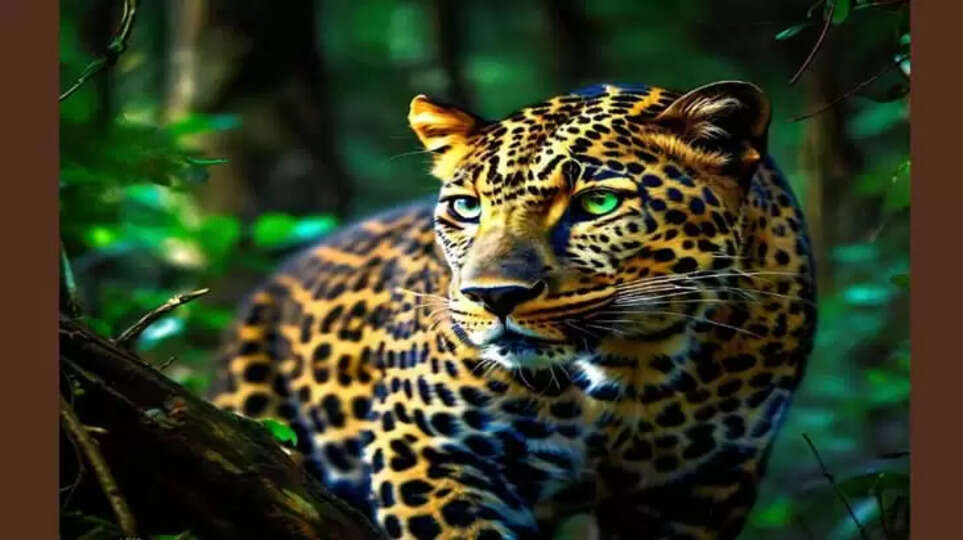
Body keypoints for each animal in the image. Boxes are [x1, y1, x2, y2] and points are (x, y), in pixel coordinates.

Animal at [210, 81, 817, 540]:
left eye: (597, 203)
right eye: (465, 207)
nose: (492, 296)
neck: (631, 366)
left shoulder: (700, 486)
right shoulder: (425, 445)